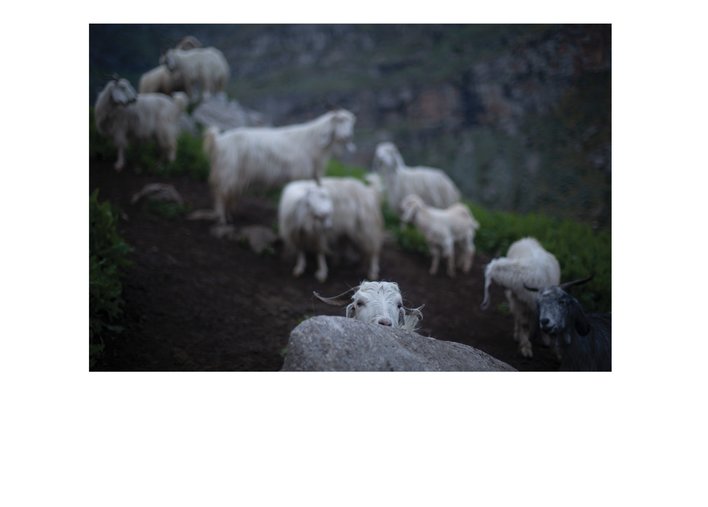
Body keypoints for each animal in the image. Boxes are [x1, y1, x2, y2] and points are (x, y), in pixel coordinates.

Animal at [203, 109, 356, 224]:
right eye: (339, 120)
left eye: (351, 123)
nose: (347, 136)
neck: (313, 141)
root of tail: (218, 141)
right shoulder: (299, 174)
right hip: (228, 171)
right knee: (221, 193)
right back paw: (222, 219)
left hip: (234, 175)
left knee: (228, 193)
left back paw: (229, 216)